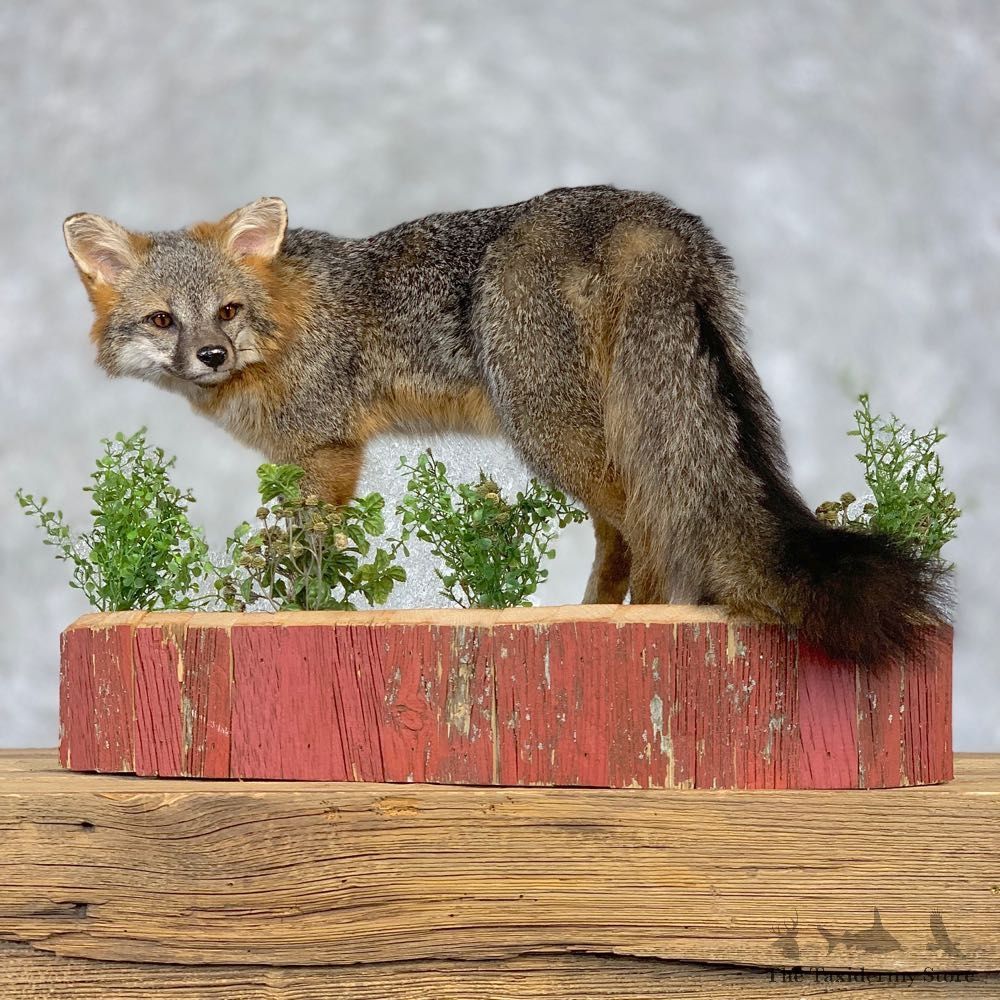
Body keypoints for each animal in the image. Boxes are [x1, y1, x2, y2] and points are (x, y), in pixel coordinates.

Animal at [63, 185, 946, 663]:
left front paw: (295, 612)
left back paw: (638, 621)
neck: (284, 322)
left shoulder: (330, 450)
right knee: (625, 534)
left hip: (549, 431)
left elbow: (309, 559)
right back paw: (593, 614)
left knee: (650, 527)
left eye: (227, 310)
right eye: (162, 319)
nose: (210, 354)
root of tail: (642, 213)